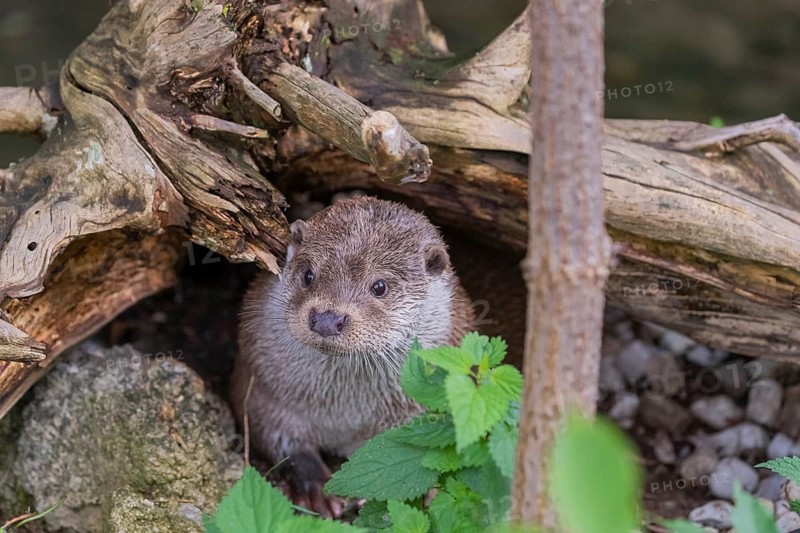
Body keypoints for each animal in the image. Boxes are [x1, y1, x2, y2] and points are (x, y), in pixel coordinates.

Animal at [230, 197, 474, 515]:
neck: (344, 414)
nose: (326, 319)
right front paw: (316, 489)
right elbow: (275, 435)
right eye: (308, 275)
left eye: (379, 286)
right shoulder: (264, 390)